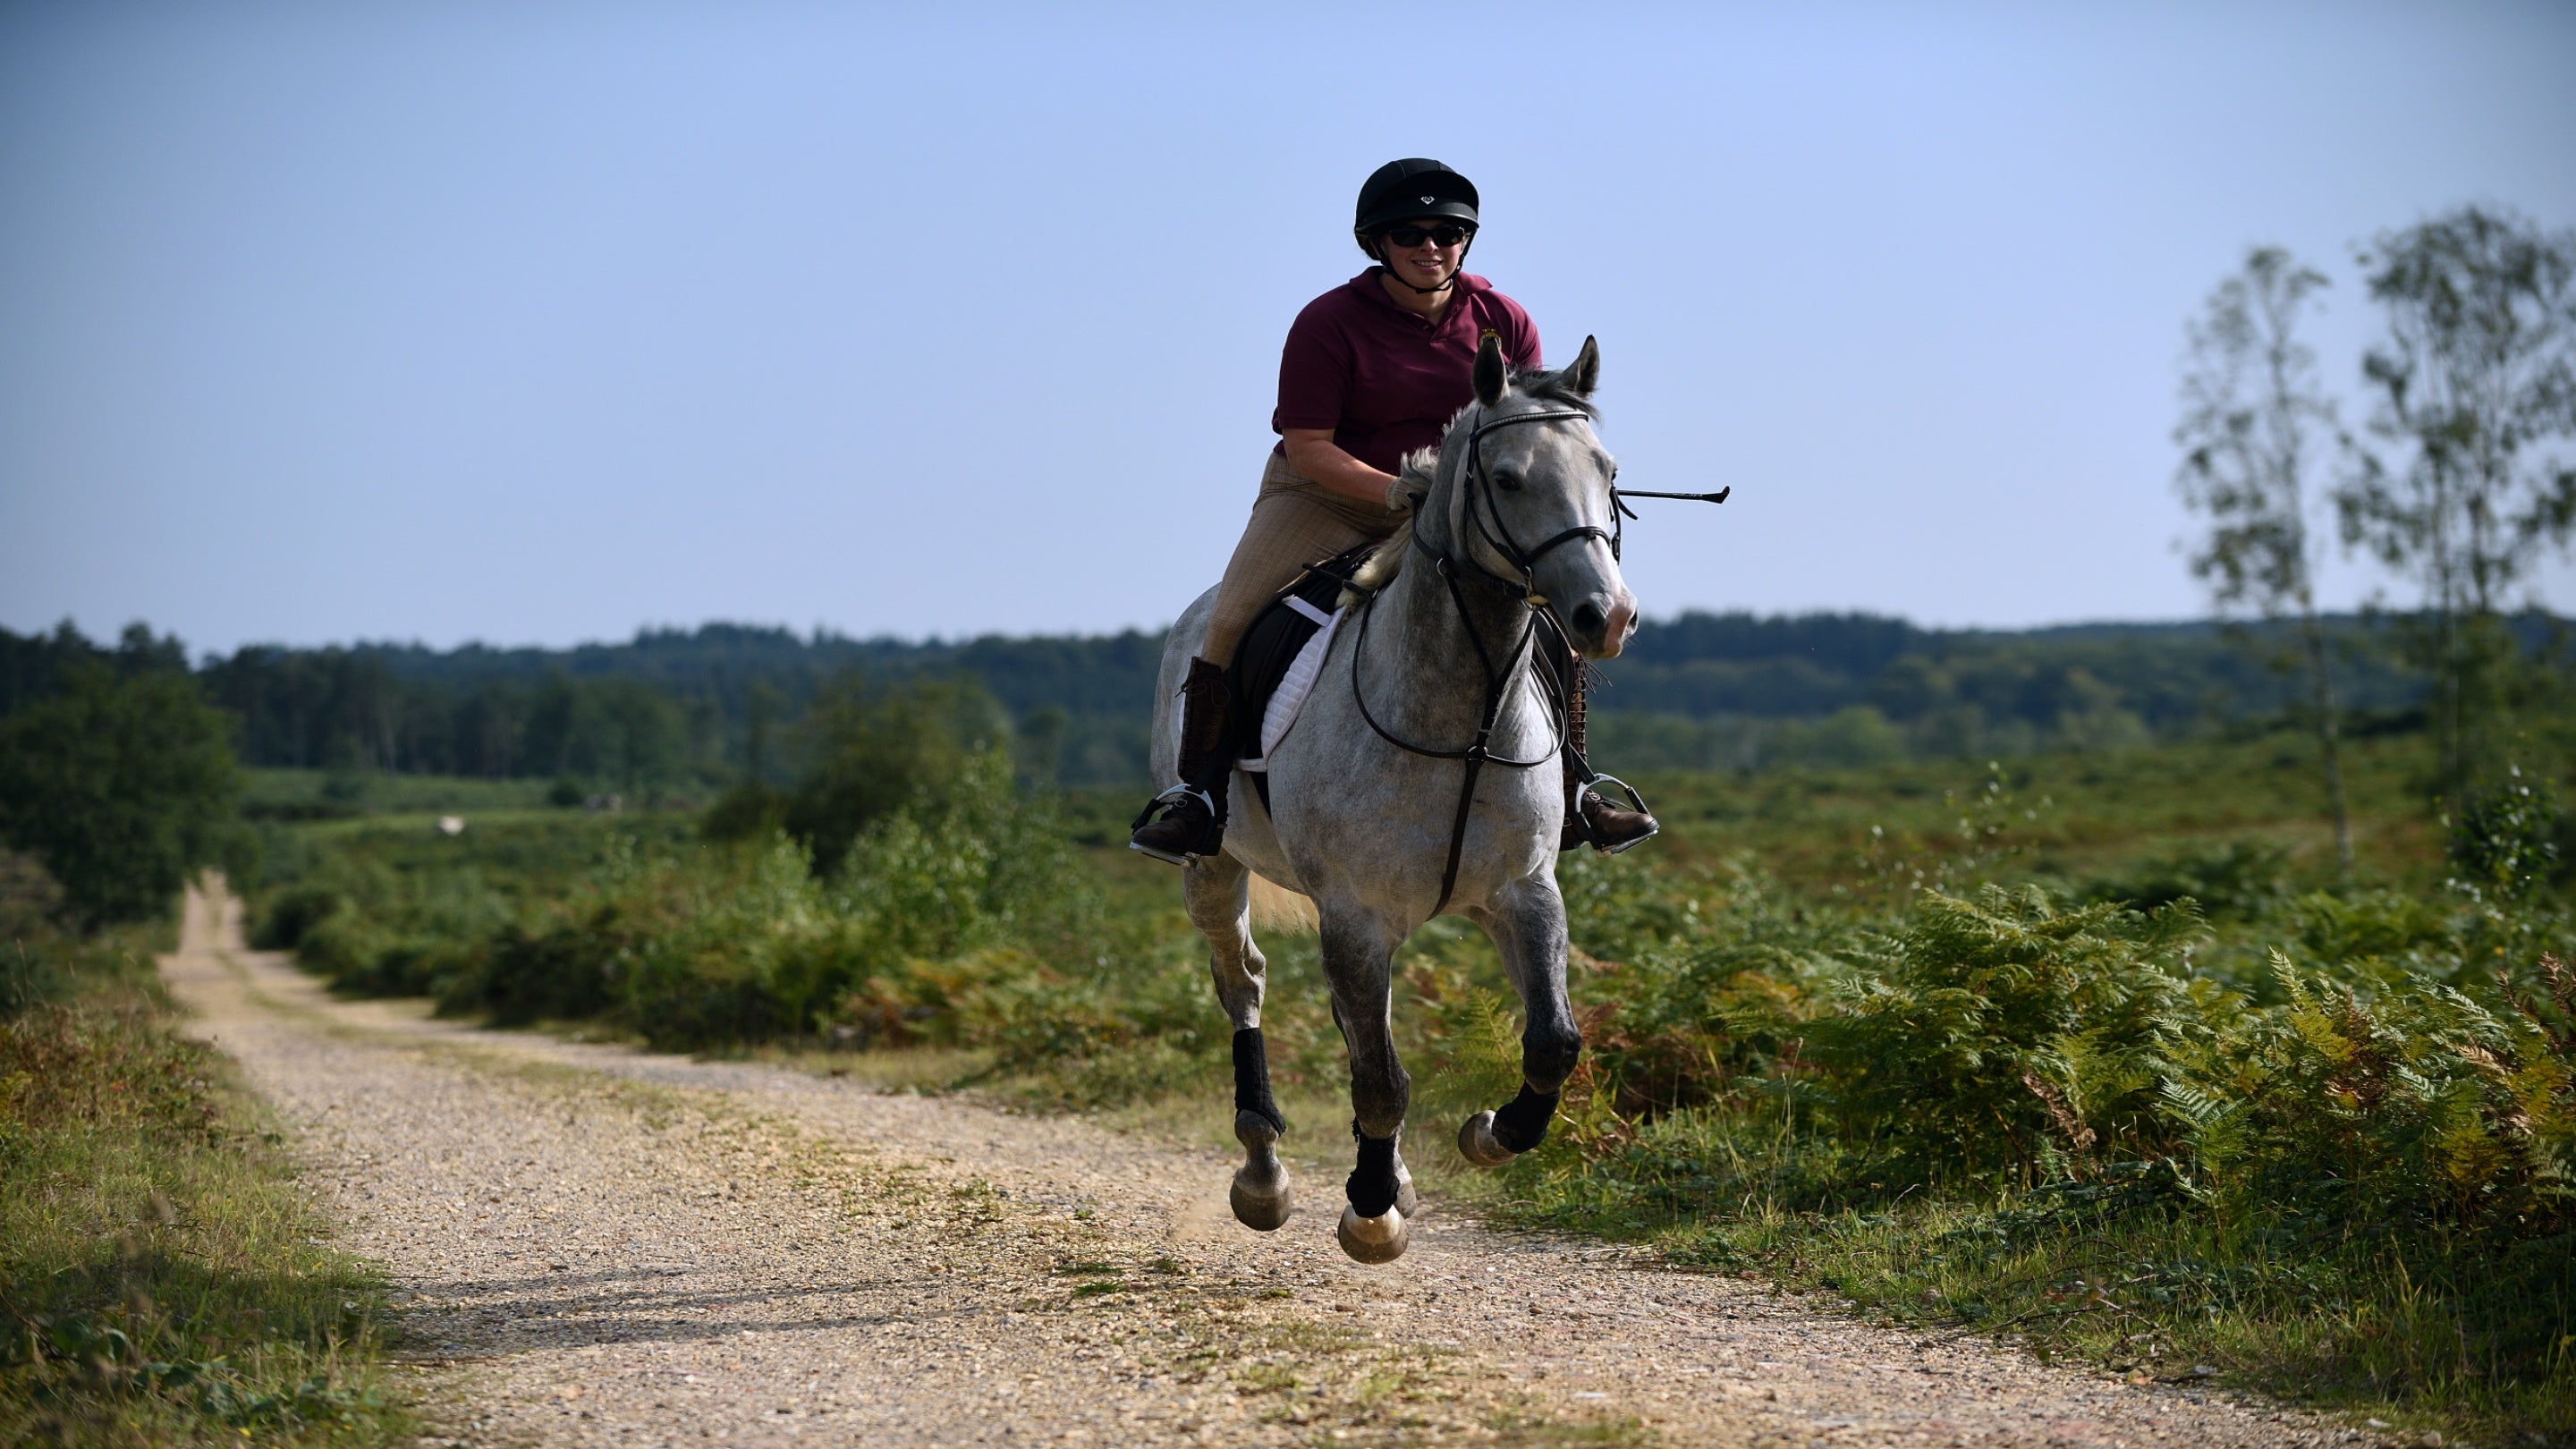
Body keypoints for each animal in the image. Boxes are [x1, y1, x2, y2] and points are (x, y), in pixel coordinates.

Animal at [1148, 334, 1638, 1264]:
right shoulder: (1355, 913)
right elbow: (1379, 1077)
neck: (1461, 720)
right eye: (1509, 479)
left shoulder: (1522, 891)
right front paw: (1370, 1211)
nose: (1608, 614)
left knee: (1351, 1021)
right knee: (1245, 985)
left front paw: (1489, 1134)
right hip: (1212, 869)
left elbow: (1552, 1042)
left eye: (1609, 470)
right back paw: (1264, 1174)